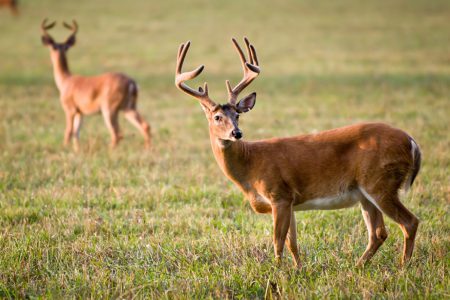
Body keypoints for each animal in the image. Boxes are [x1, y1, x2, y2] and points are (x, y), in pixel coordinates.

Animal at [40, 19, 150, 149]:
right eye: (54, 47)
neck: (65, 80)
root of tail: (132, 83)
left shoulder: (70, 109)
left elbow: (68, 132)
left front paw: (65, 148)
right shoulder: (80, 113)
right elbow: (76, 133)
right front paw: (76, 150)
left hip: (109, 108)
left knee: (117, 133)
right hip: (128, 107)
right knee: (145, 126)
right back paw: (148, 149)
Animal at [175, 38, 422, 270]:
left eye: (237, 115)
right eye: (217, 117)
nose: (236, 133)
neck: (250, 165)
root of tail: (412, 141)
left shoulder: (279, 194)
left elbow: (277, 241)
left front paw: (277, 272)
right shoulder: (289, 201)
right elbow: (292, 242)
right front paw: (298, 269)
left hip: (380, 182)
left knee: (410, 222)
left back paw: (403, 267)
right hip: (365, 193)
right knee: (379, 233)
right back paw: (358, 266)